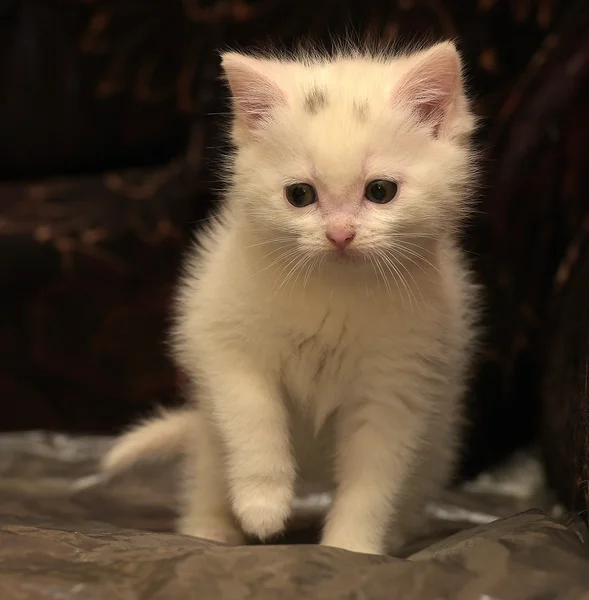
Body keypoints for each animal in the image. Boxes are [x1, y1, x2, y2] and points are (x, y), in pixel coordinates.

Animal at [100, 42, 478, 556]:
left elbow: (373, 478)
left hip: (437, 444)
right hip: (208, 429)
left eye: (381, 191)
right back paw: (209, 528)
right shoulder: (225, 342)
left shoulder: (399, 383)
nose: (340, 234)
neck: (334, 289)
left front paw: (352, 549)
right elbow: (253, 419)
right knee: (208, 469)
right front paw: (262, 505)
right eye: (300, 195)